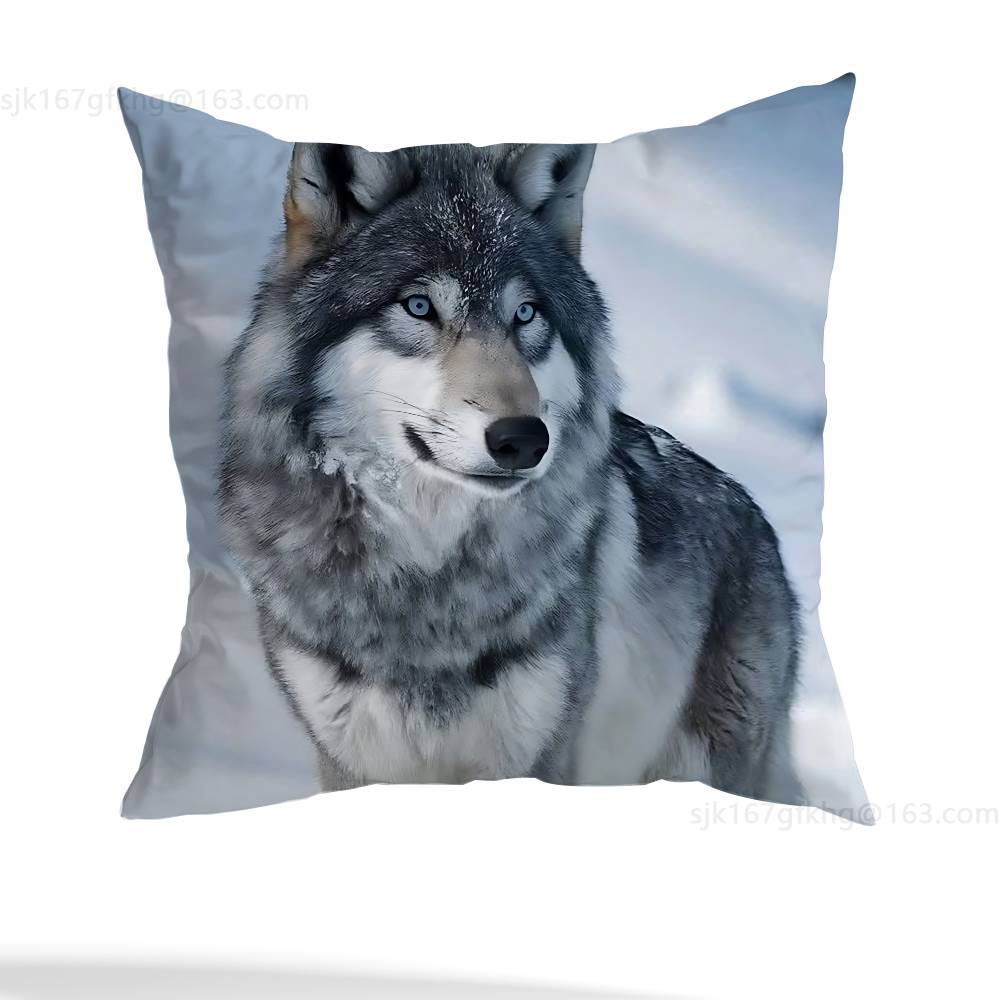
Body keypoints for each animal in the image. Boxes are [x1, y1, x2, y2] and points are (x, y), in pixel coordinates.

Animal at [218, 140, 802, 803]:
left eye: (525, 314)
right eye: (419, 307)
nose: (524, 439)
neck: (426, 581)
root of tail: (754, 516)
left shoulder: (539, 759)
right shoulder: (353, 766)